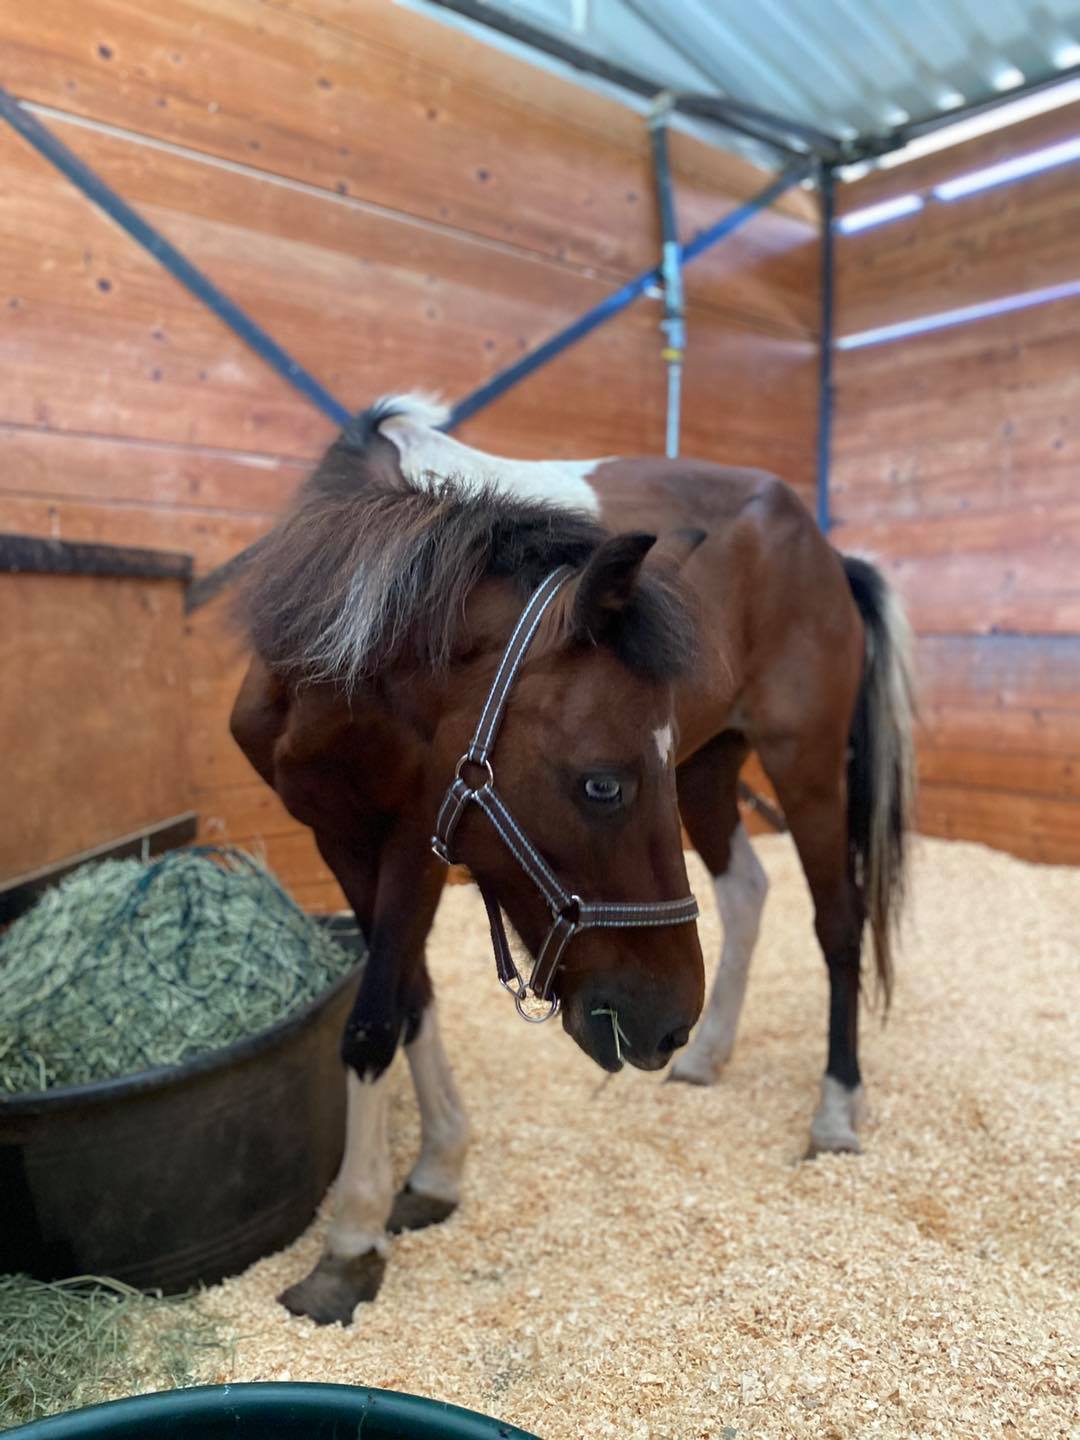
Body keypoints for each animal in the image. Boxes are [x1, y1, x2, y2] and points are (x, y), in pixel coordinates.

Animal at [229, 393, 915, 1326]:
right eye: (602, 784)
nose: (667, 1021)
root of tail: (825, 548)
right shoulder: (340, 834)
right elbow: (409, 1000)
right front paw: (435, 1171)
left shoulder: (416, 833)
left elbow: (375, 1018)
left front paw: (350, 1243)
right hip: (709, 766)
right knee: (746, 890)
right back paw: (710, 1058)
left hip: (803, 763)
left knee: (838, 924)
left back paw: (835, 1109)